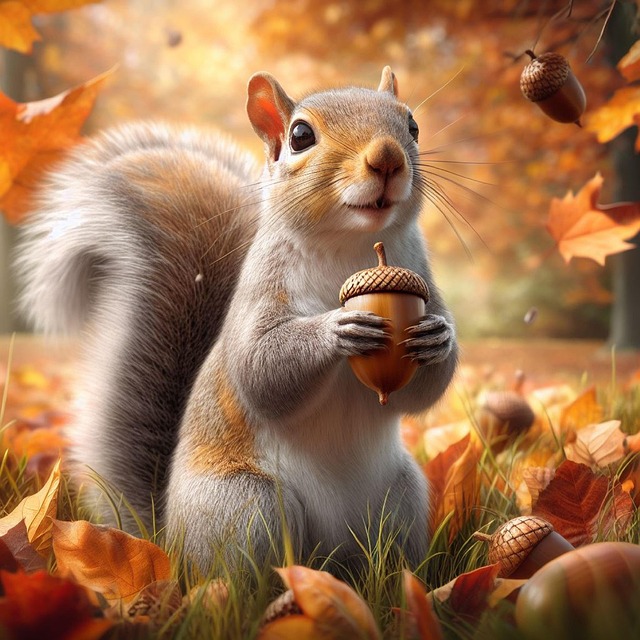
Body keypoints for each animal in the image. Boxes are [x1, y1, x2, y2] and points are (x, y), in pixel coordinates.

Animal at [16, 67, 457, 576]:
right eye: (300, 136)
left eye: (413, 126)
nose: (387, 158)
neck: (352, 247)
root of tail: (169, 540)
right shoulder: (259, 293)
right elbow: (259, 368)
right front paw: (336, 328)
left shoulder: (422, 281)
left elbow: (424, 391)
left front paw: (438, 338)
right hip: (246, 505)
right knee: (239, 577)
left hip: (401, 498)